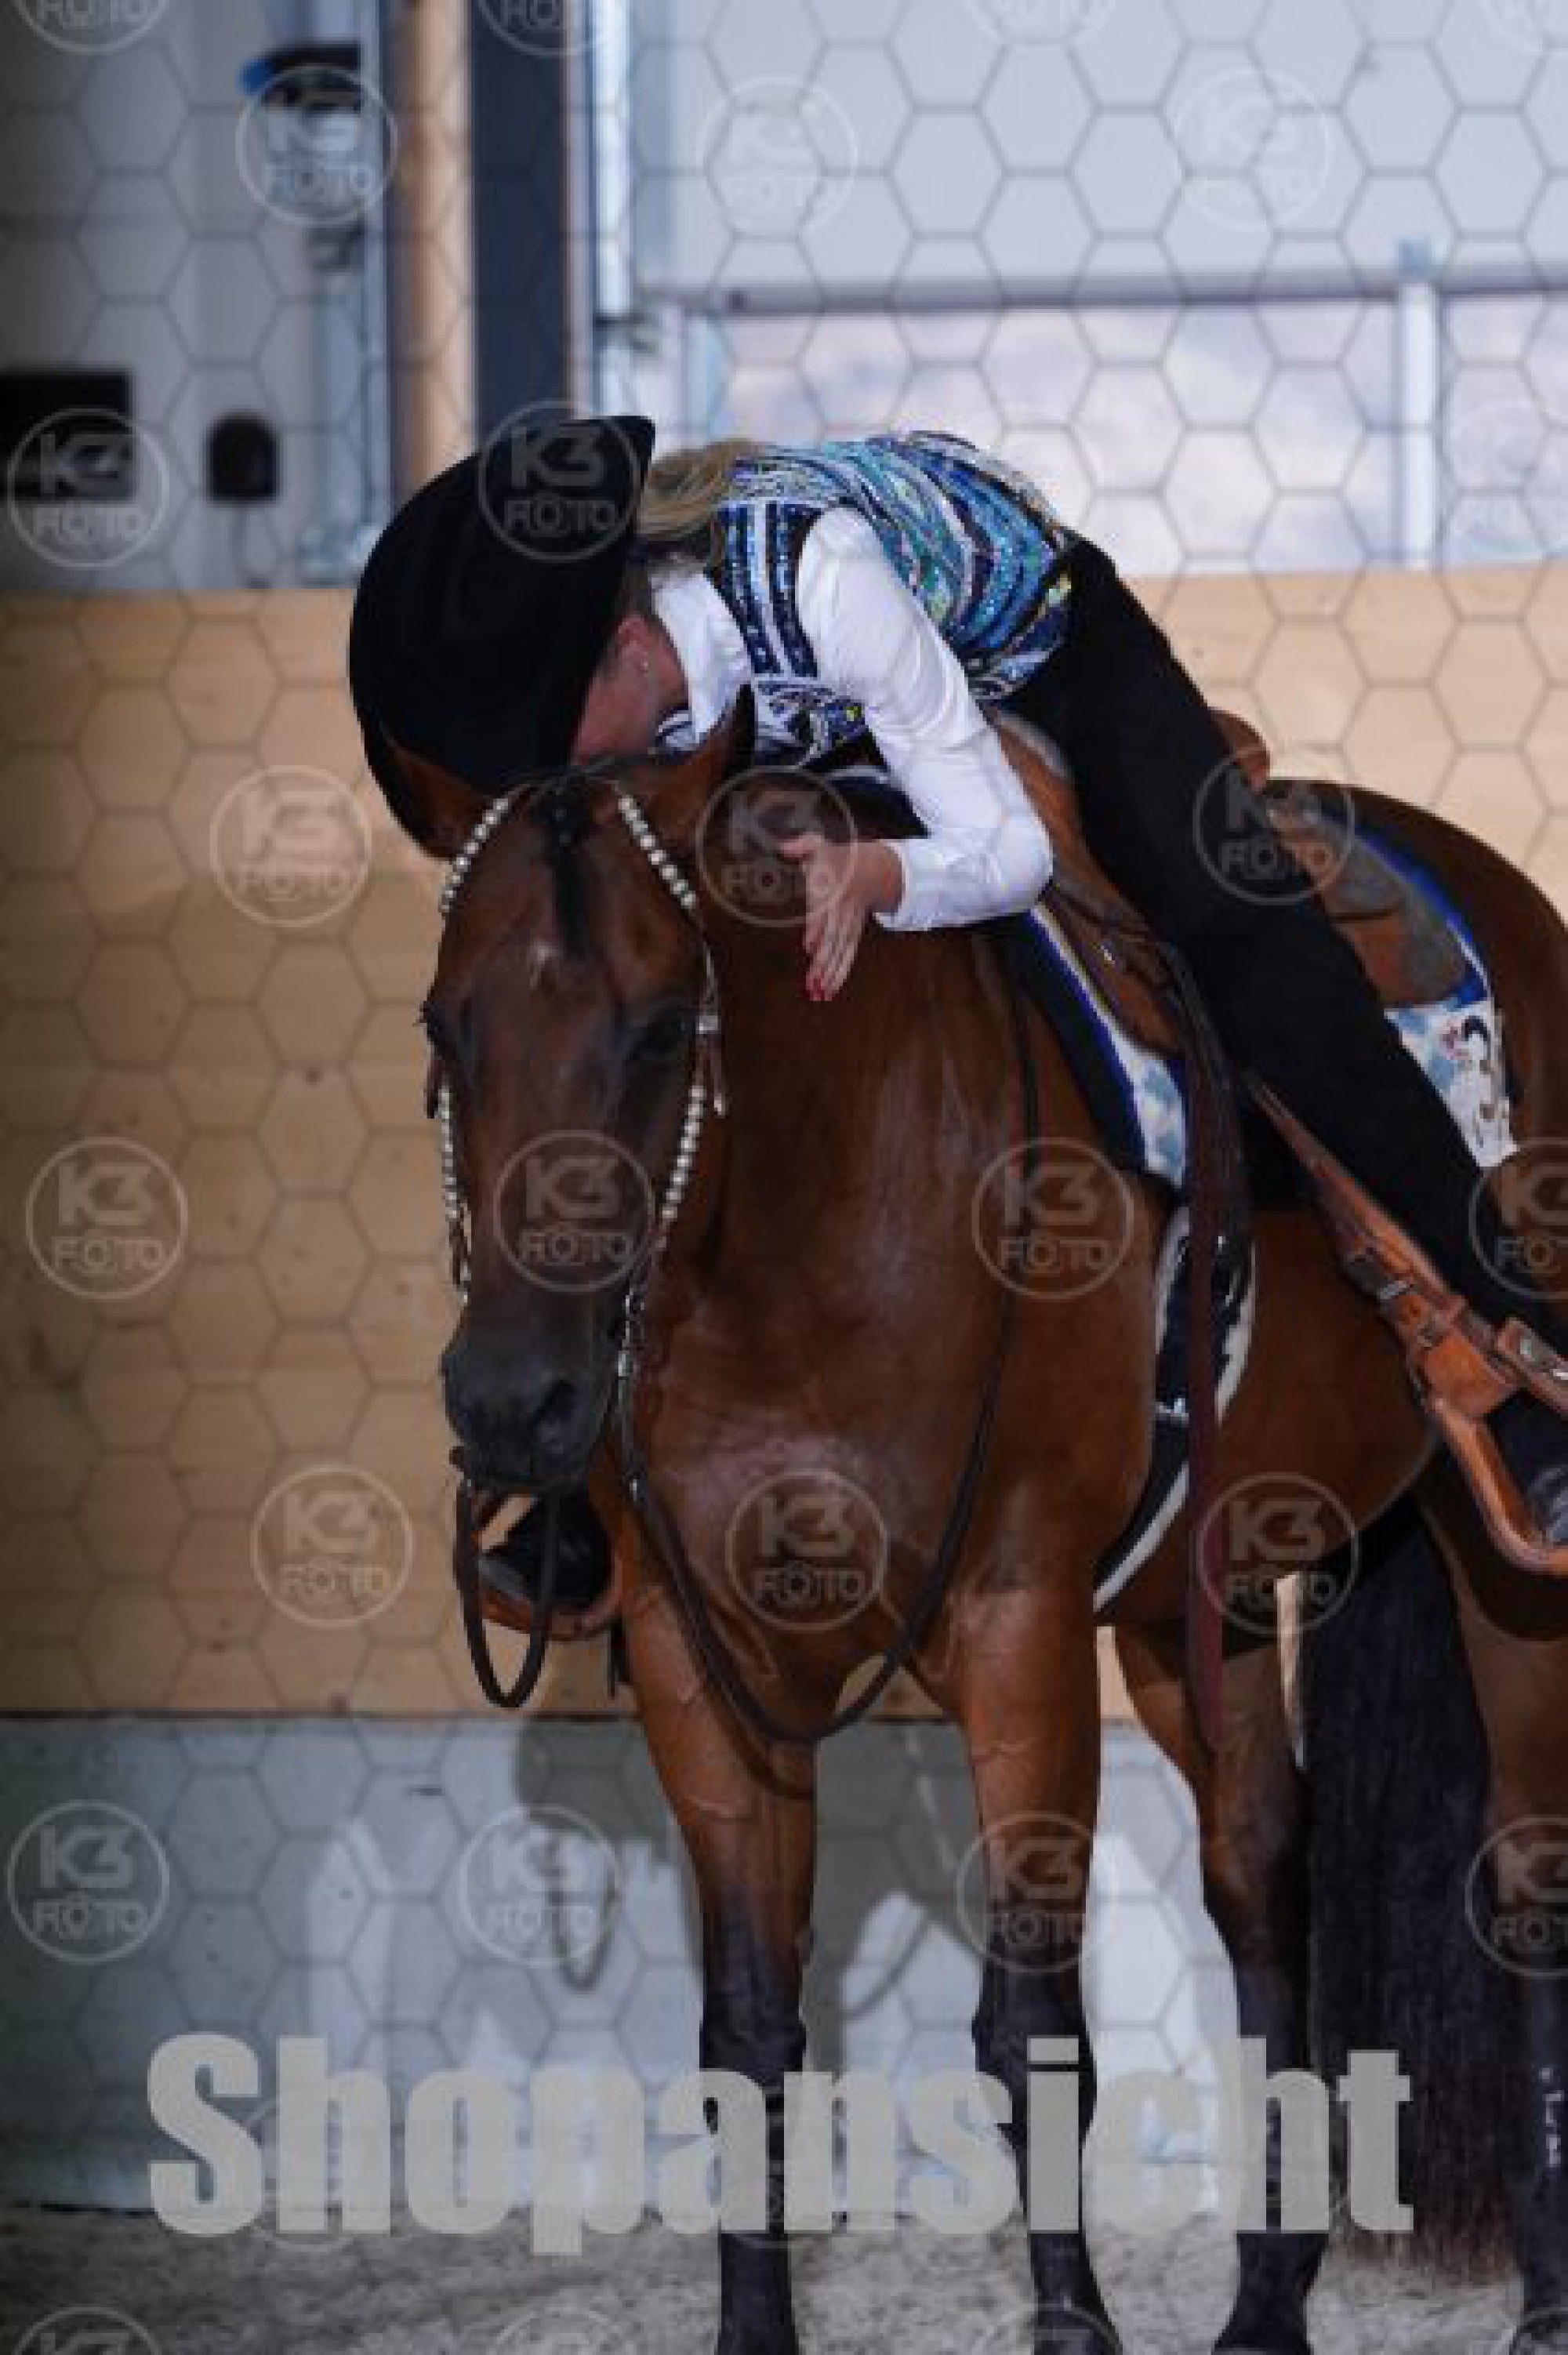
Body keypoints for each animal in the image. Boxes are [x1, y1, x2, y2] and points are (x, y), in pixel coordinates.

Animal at [390, 701, 1568, 2355]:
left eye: (661, 1028)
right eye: (447, 1030)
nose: (514, 1399)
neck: (808, 1228)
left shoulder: (1016, 1624)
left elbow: (1031, 2019)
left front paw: (1071, 2321)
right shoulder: (702, 1653)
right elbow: (748, 2025)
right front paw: (757, 2327)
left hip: (1494, 1566)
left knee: (1525, 1869)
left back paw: (1543, 2298)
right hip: (1190, 1597)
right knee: (1264, 1867)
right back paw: (1268, 2295)